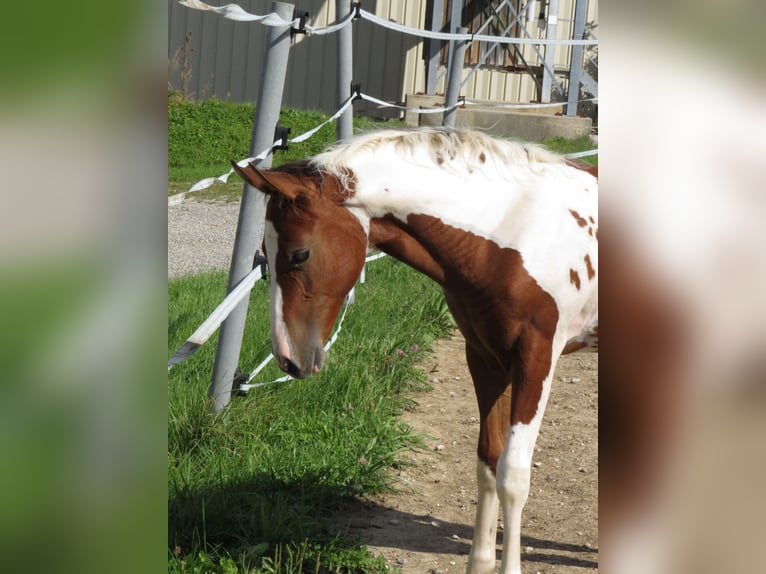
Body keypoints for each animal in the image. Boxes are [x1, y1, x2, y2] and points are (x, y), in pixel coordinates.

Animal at [232, 127, 598, 574]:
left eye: (300, 254)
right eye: (263, 254)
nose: (288, 357)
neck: (513, 232)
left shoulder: (536, 358)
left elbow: (512, 475)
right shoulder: (485, 357)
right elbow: (488, 461)